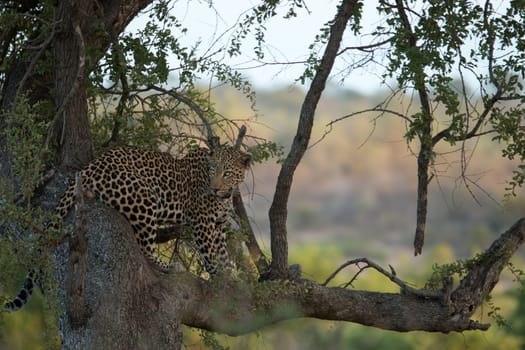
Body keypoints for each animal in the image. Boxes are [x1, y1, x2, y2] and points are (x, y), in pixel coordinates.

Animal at [3, 145, 250, 312]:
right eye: (211, 170)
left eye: (227, 173)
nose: (214, 188)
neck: (226, 195)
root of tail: (89, 166)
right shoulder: (203, 222)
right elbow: (210, 254)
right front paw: (220, 280)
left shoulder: (218, 225)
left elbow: (223, 254)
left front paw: (231, 279)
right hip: (144, 197)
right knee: (145, 247)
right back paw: (169, 266)